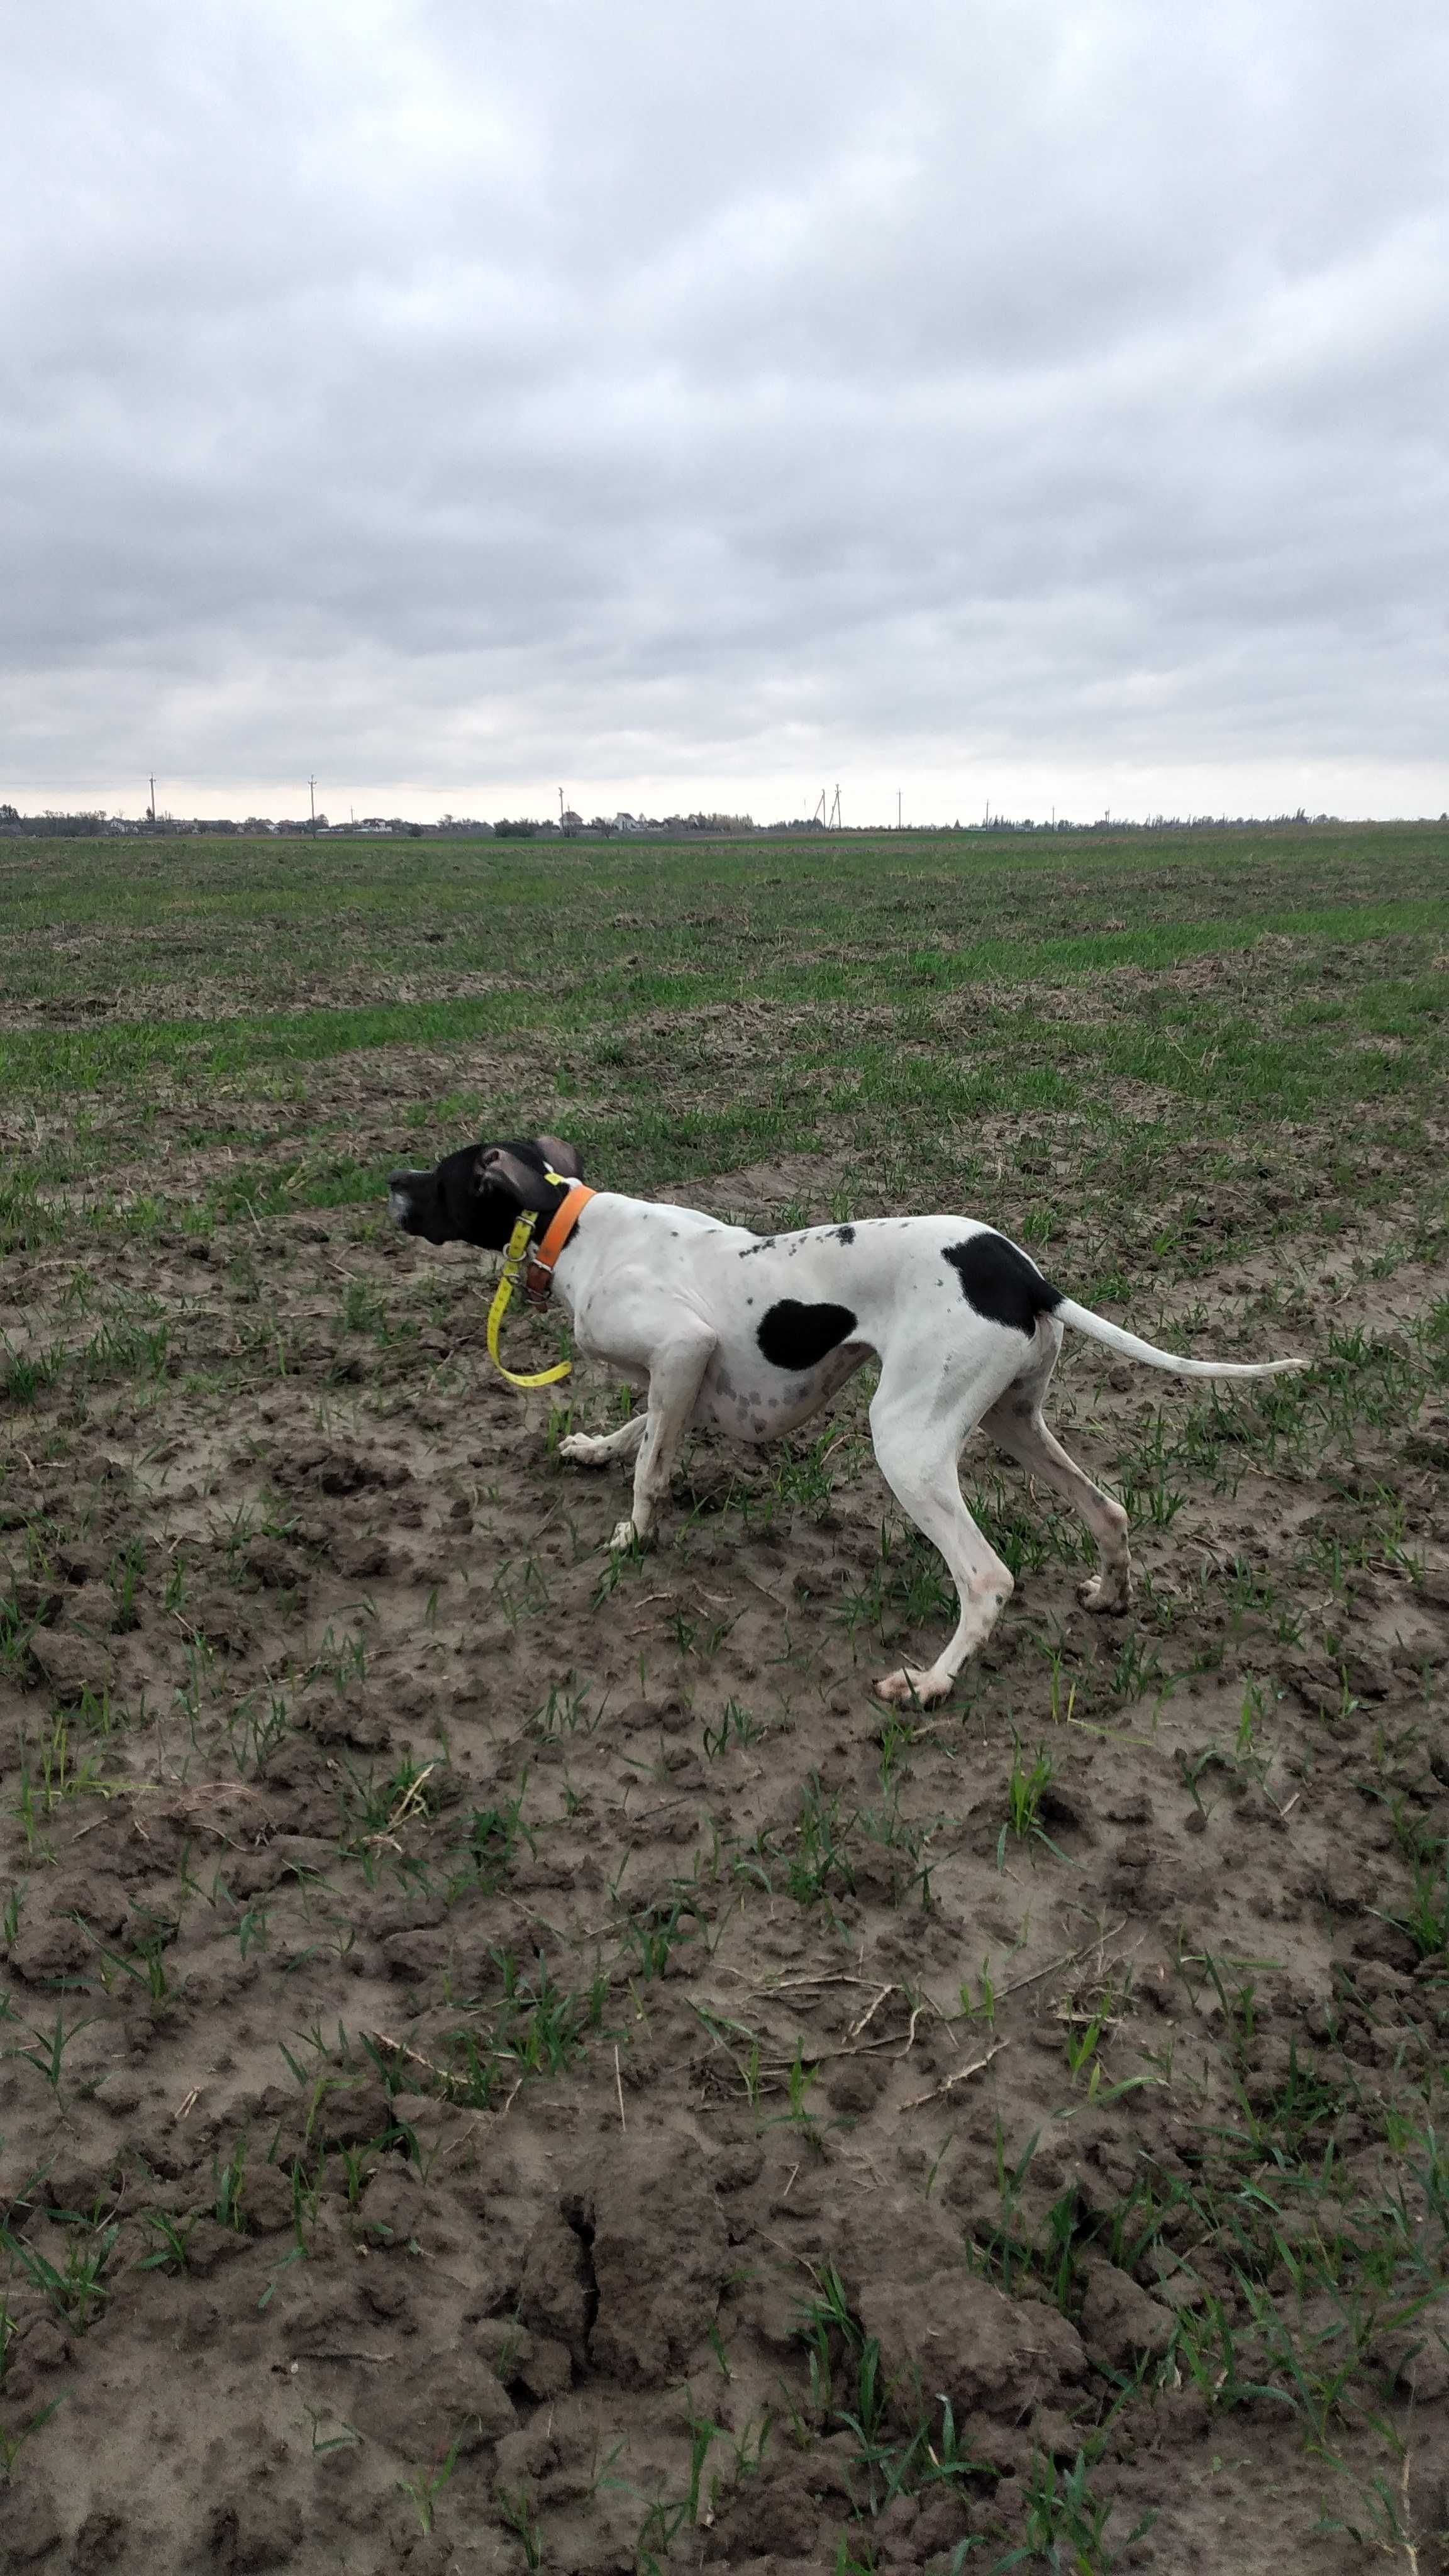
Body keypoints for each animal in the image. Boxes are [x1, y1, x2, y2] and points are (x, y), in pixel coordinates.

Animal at [386, 1133, 1299, 1700]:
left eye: (440, 1174)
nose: (389, 1183)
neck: (572, 1229)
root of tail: (1024, 1276)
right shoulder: (682, 1375)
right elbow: (642, 1431)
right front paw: (591, 1450)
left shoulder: (681, 1348)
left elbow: (652, 1467)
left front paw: (634, 1537)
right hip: (1012, 1418)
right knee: (1108, 1511)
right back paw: (1110, 1596)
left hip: (907, 1441)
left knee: (987, 1577)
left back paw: (930, 1683)